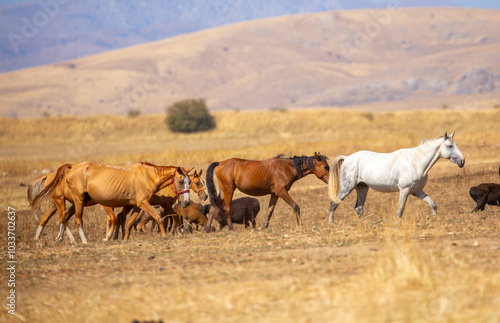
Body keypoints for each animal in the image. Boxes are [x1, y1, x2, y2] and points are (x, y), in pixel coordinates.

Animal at [30, 162, 191, 243]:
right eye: (181, 181)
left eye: (189, 181)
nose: (187, 202)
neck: (147, 175)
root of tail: (71, 168)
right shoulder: (143, 203)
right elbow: (158, 217)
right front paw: (164, 235)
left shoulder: (137, 205)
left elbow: (129, 222)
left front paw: (124, 238)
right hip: (76, 201)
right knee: (76, 220)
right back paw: (83, 241)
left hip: (77, 202)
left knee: (64, 217)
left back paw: (62, 239)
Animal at [328, 132, 464, 223]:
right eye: (450, 146)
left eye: (456, 144)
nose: (462, 161)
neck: (416, 162)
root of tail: (347, 158)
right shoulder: (404, 190)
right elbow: (400, 210)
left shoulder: (416, 191)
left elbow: (432, 203)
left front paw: (435, 218)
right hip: (347, 188)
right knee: (334, 203)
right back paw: (331, 223)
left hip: (362, 188)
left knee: (358, 208)